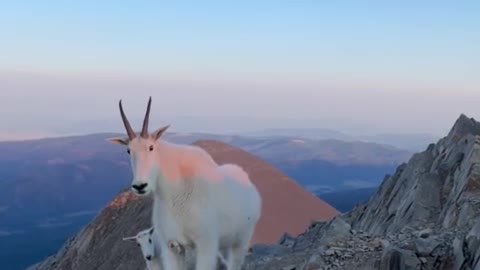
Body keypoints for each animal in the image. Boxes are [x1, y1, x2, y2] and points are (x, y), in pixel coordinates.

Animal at [109, 97, 262, 270]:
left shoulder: (206, 244)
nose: (140, 186)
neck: (175, 194)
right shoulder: (172, 247)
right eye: (128, 150)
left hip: (242, 239)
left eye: (151, 147)